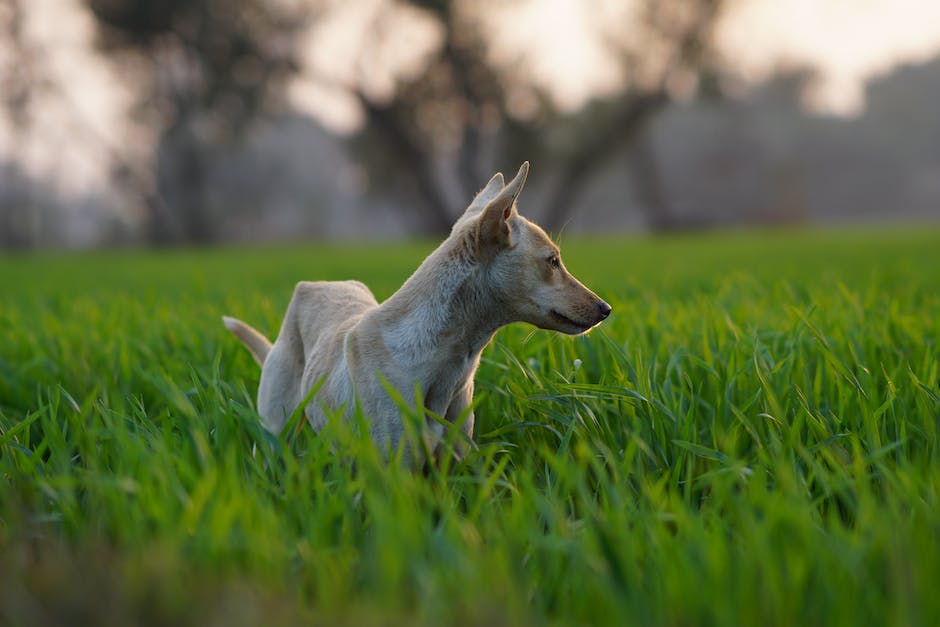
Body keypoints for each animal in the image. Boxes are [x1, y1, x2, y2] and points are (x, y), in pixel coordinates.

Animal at [225, 163, 612, 466]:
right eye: (553, 261)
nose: (606, 309)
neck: (445, 354)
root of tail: (311, 287)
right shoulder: (398, 470)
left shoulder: (452, 461)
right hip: (278, 432)